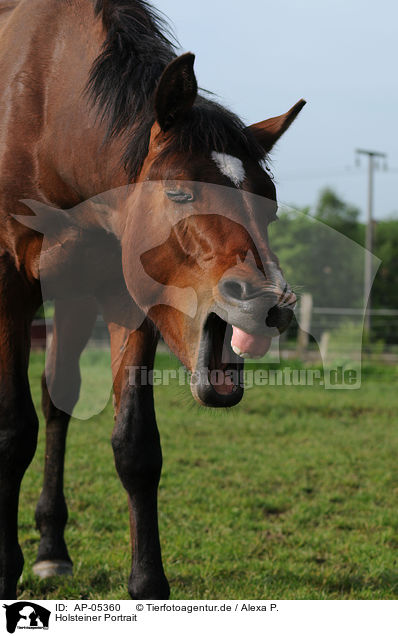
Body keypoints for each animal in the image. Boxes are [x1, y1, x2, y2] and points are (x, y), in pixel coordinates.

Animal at [0, 0, 304, 596]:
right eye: (180, 192)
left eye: (271, 205)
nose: (270, 301)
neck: (45, 105)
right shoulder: (8, 284)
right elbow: (11, 431)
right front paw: (3, 569)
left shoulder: (127, 296)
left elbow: (135, 446)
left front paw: (147, 583)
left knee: (58, 397)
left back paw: (51, 548)